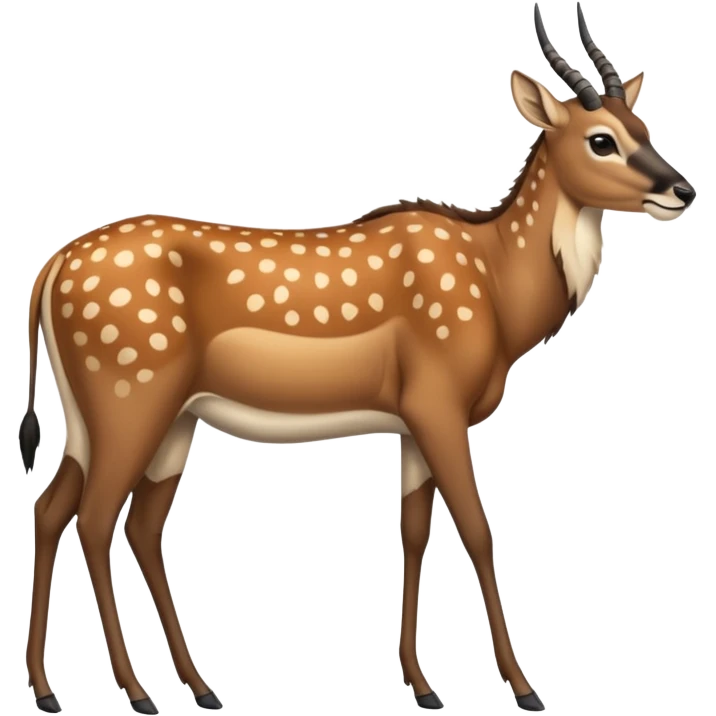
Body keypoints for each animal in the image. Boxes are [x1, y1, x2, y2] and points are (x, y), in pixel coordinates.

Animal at [18, 2, 695, 713]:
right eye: (601, 139)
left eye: (643, 127)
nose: (681, 191)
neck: (496, 287)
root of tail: (50, 268)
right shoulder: (437, 401)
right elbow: (477, 529)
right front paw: (524, 688)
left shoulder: (410, 421)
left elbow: (415, 531)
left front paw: (423, 686)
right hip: (131, 392)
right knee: (96, 519)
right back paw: (135, 691)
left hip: (139, 415)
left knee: (83, 513)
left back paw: (124, 687)